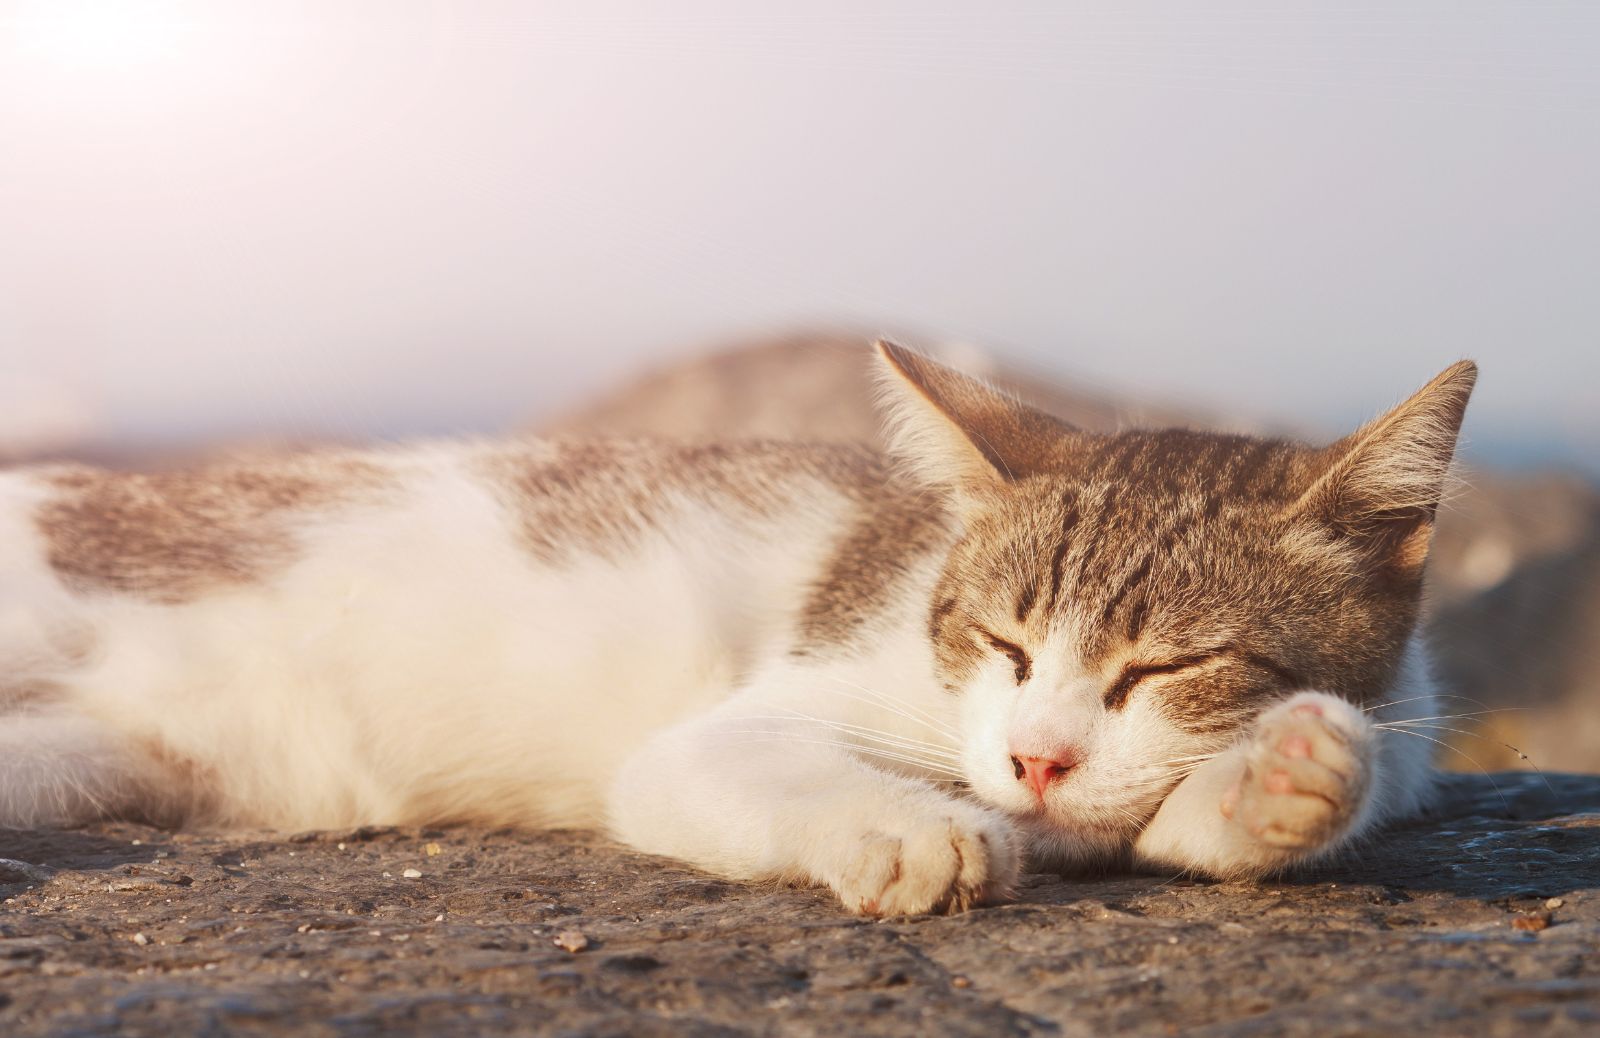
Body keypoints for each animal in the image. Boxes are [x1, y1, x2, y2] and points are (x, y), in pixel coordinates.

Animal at [0, 342, 1472, 914]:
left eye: (1169, 666)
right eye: (998, 641)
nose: (1035, 757)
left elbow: (1205, 816)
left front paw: (1278, 781)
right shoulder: (729, 733)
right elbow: (747, 762)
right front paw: (913, 829)